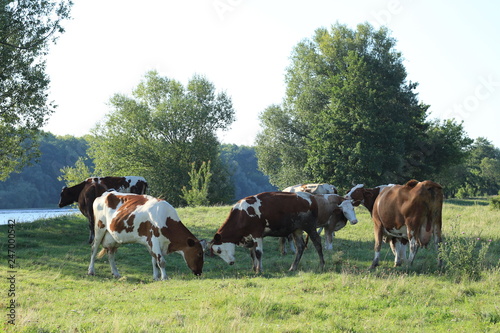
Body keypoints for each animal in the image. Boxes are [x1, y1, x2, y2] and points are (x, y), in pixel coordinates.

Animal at [209, 191, 358, 272]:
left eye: (219, 250)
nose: (230, 263)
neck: (242, 213)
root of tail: (312, 198)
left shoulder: (257, 234)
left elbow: (258, 253)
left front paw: (259, 270)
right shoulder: (250, 237)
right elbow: (252, 254)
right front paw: (254, 268)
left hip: (309, 227)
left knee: (317, 243)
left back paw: (321, 265)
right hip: (297, 230)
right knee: (300, 247)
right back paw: (293, 267)